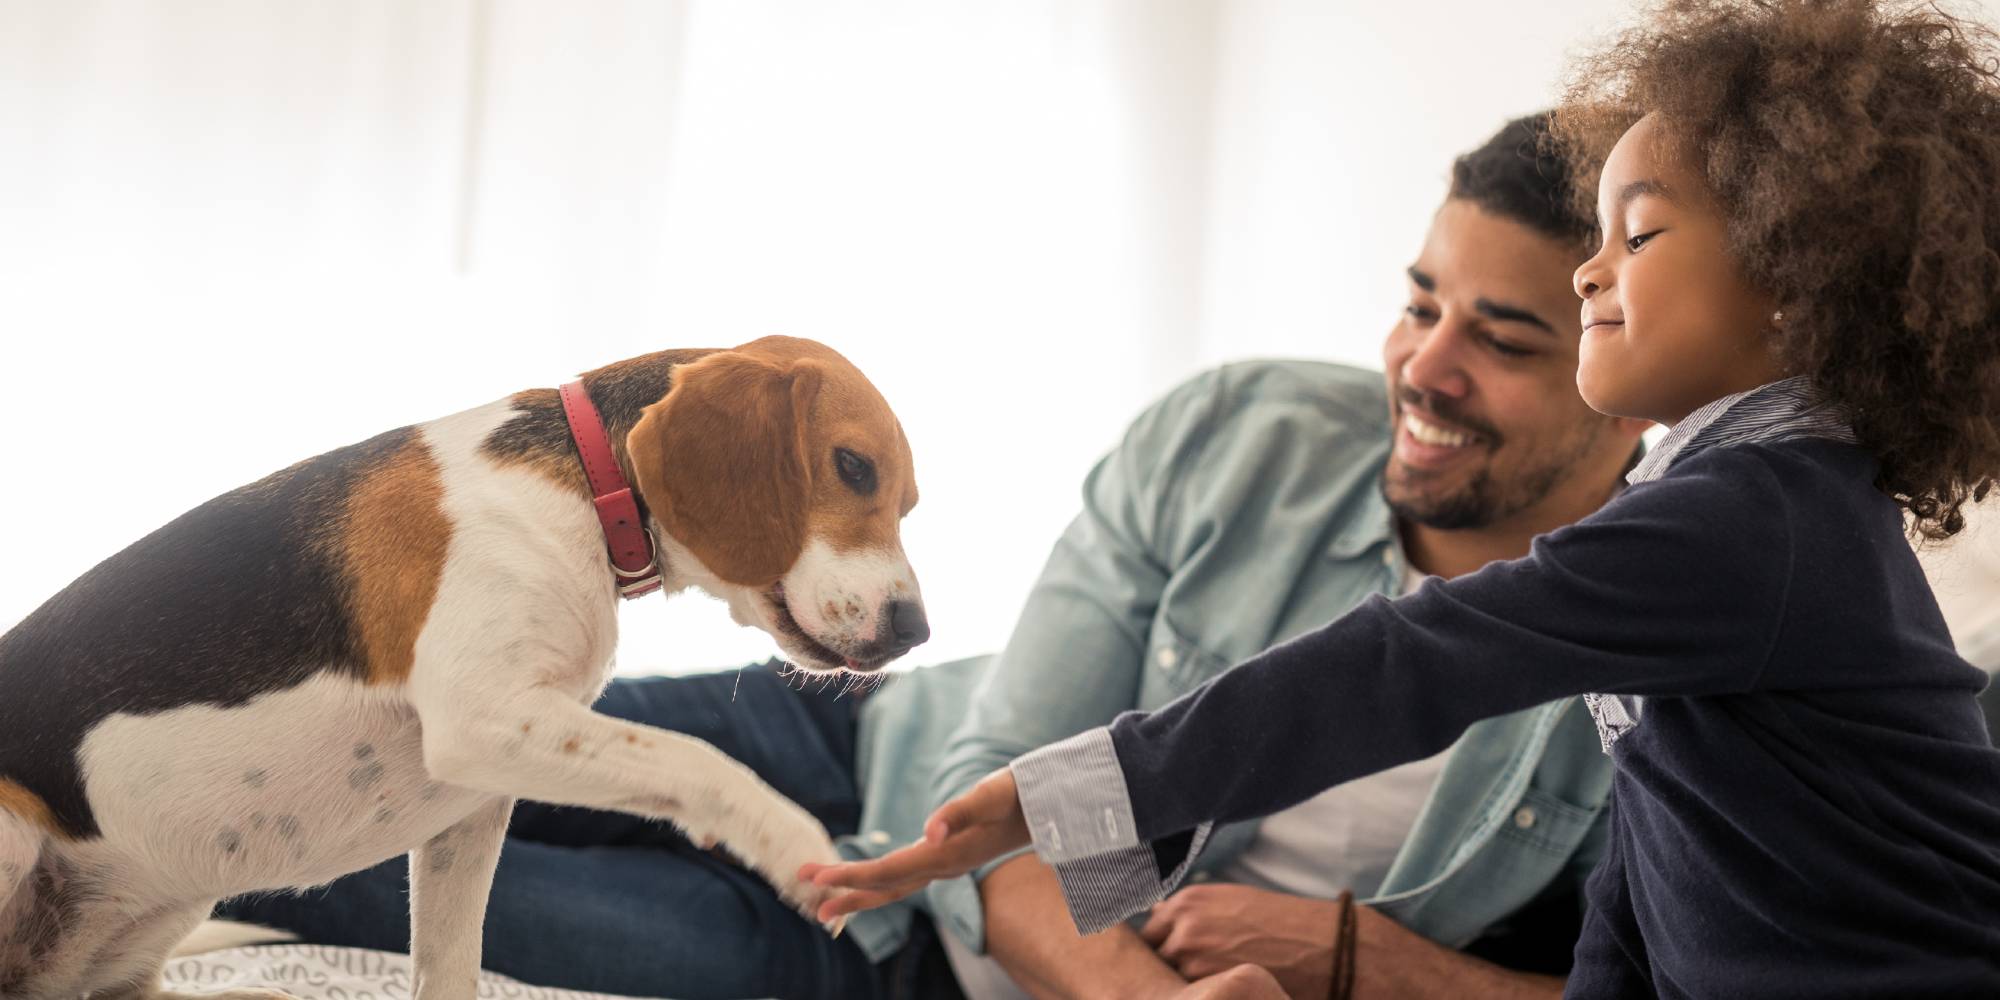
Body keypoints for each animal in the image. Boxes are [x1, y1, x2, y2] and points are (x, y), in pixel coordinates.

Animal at [0, 338, 924, 1000]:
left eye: (908, 504)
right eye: (852, 467)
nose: (917, 630)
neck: (587, 489)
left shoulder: (473, 802)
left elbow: (450, 965)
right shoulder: (483, 720)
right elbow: (695, 757)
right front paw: (791, 843)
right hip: (17, 833)